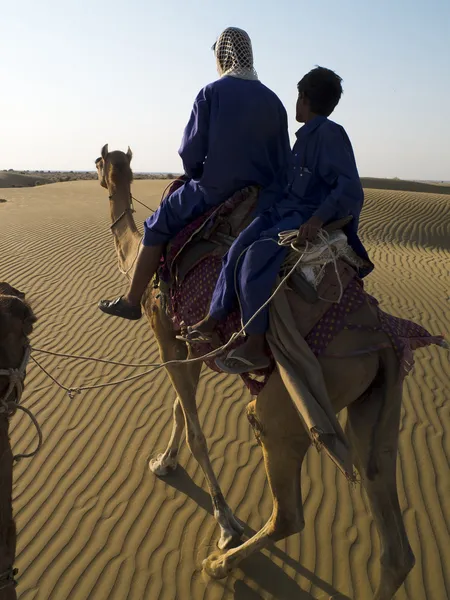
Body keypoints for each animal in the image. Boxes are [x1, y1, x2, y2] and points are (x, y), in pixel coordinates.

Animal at [96, 146, 446, 600]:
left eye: (99, 163)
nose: (97, 171)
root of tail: (384, 340)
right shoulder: (192, 347)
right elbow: (180, 411)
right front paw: (164, 463)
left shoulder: (166, 335)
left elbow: (196, 432)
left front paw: (225, 522)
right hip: (378, 402)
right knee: (393, 540)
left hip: (292, 404)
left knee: (290, 512)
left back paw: (220, 564)